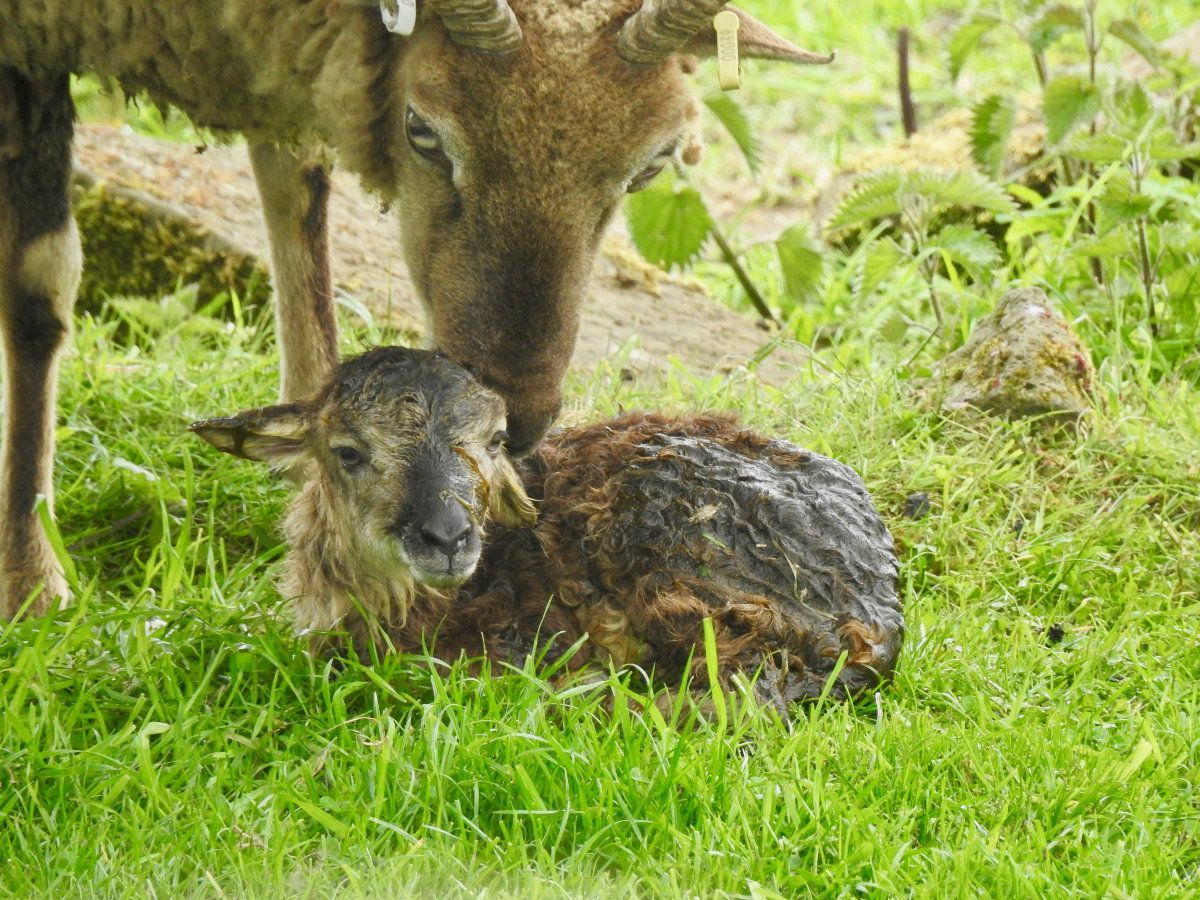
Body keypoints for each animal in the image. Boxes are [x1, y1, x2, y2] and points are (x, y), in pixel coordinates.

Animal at [0, 0, 835, 617]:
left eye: (653, 164)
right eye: (422, 132)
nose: (520, 420)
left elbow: (298, 188)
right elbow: (40, 286)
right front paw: (30, 581)